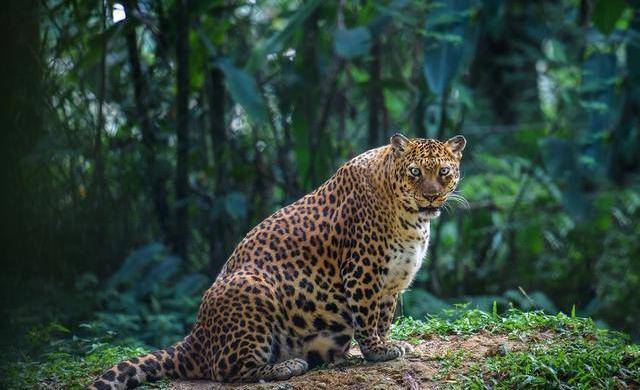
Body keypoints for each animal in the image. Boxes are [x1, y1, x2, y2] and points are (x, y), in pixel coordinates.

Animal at [89, 133, 464, 388]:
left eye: (444, 172)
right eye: (414, 172)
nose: (431, 196)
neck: (413, 218)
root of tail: (195, 336)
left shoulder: (391, 283)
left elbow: (382, 318)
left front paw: (385, 345)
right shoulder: (363, 272)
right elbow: (368, 319)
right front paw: (377, 351)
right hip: (251, 289)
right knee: (227, 369)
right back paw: (287, 367)